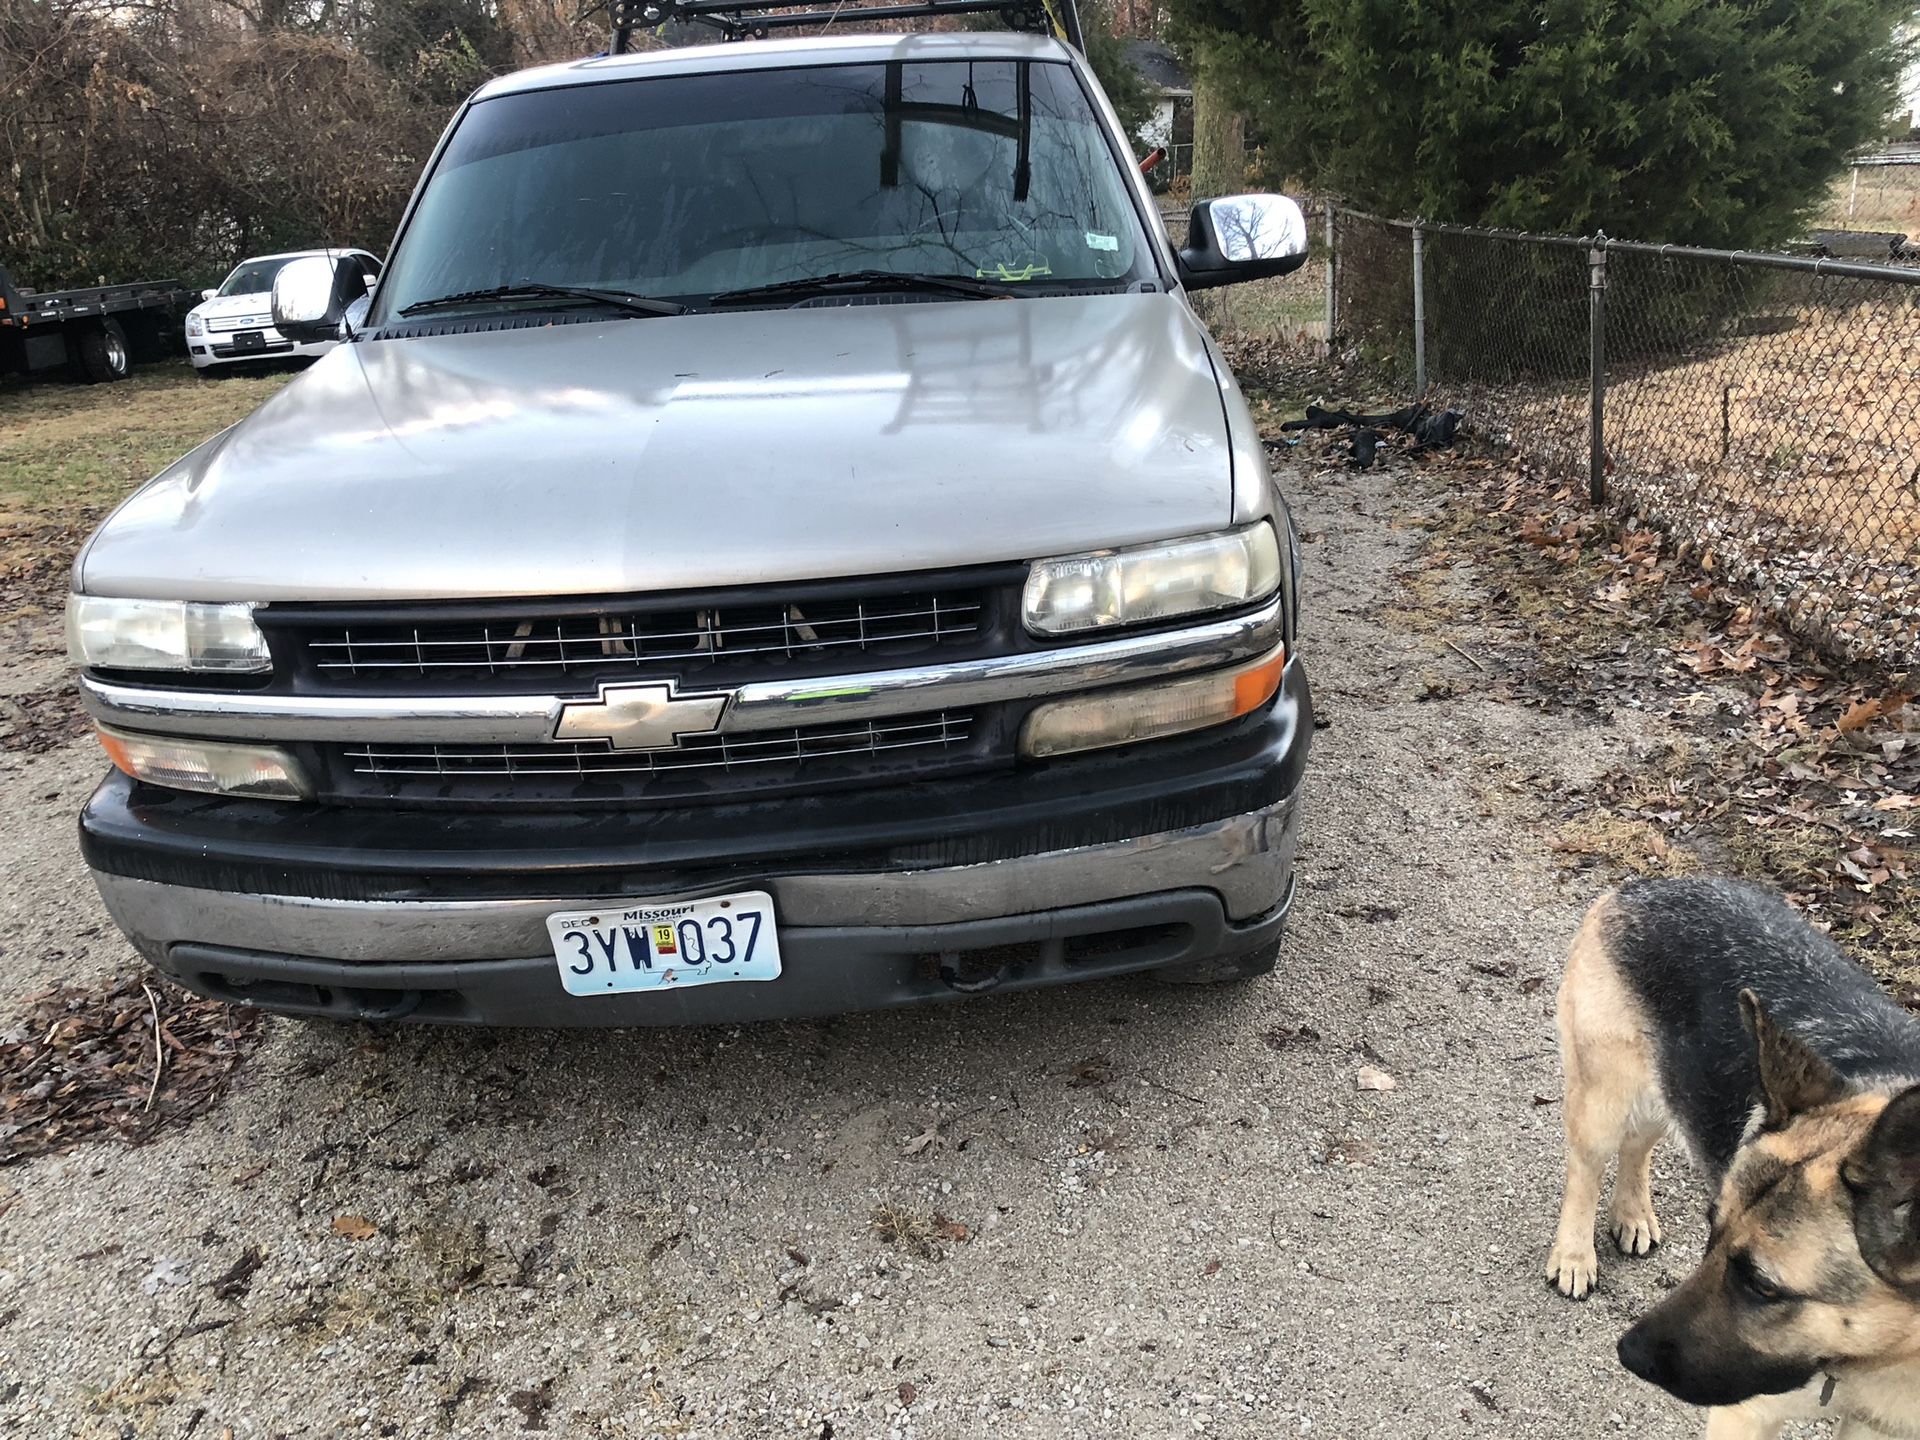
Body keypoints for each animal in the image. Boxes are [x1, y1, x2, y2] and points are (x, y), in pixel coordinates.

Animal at [1543, 875, 1920, 1436]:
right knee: (1585, 1172)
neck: (1893, 1356)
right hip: (1604, 1103)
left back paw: (1632, 1213)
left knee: (1637, 1148)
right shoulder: (1745, 1414)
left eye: (1762, 1285)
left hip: (1671, 1088)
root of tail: (1648, 885)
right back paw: (1573, 1255)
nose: (1629, 1354)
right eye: (1711, 1233)